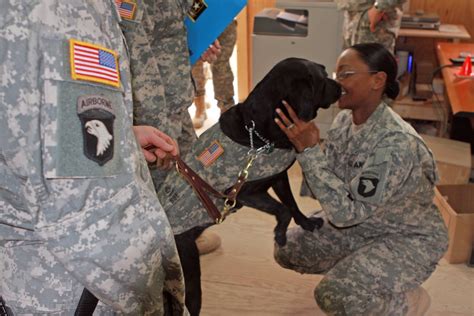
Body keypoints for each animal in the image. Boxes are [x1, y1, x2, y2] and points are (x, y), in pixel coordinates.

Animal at [159, 58, 340, 314]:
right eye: (322, 80)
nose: (341, 87)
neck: (257, 132)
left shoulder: (278, 178)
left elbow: (291, 204)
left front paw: (305, 223)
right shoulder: (244, 193)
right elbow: (283, 210)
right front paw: (280, 234)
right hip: (188, 271)